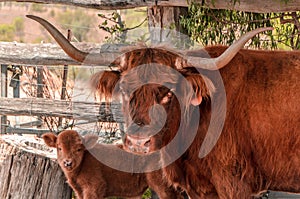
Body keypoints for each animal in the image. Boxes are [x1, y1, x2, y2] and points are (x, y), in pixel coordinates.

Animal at [42, 131, 183, 199]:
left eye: (79, 149)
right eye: (59, 148)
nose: (68, 162)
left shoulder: (94, 189)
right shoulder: (79, 191)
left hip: (163, 187)